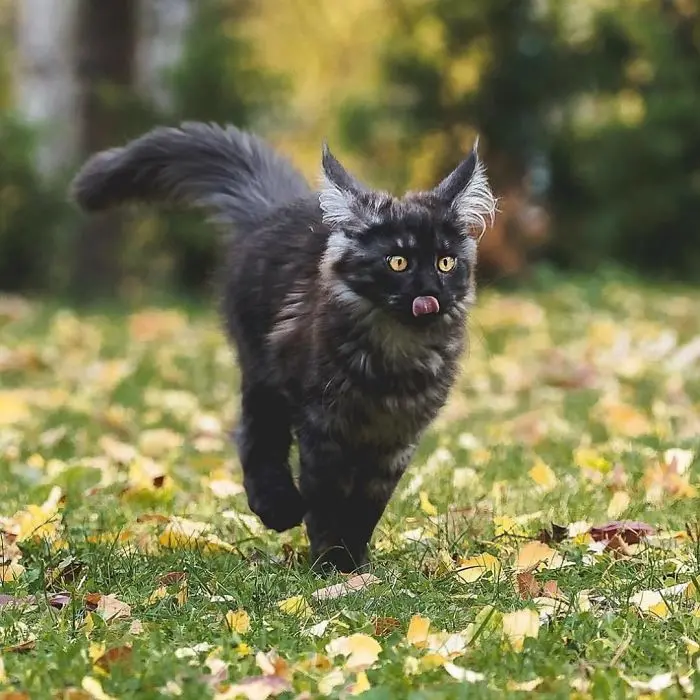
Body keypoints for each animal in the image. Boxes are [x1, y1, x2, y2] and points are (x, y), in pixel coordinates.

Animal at [71, 124, 494, 576]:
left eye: (446, 263)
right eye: (397, 262)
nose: (430, 293)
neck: (393, 359)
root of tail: (271, 210)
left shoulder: (395, 440)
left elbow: (366, 507)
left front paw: (355, 565)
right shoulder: (322, 427)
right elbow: (327, 500)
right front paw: (332, 565)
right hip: (262, 369)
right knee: (254, 435)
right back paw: (278, 506)